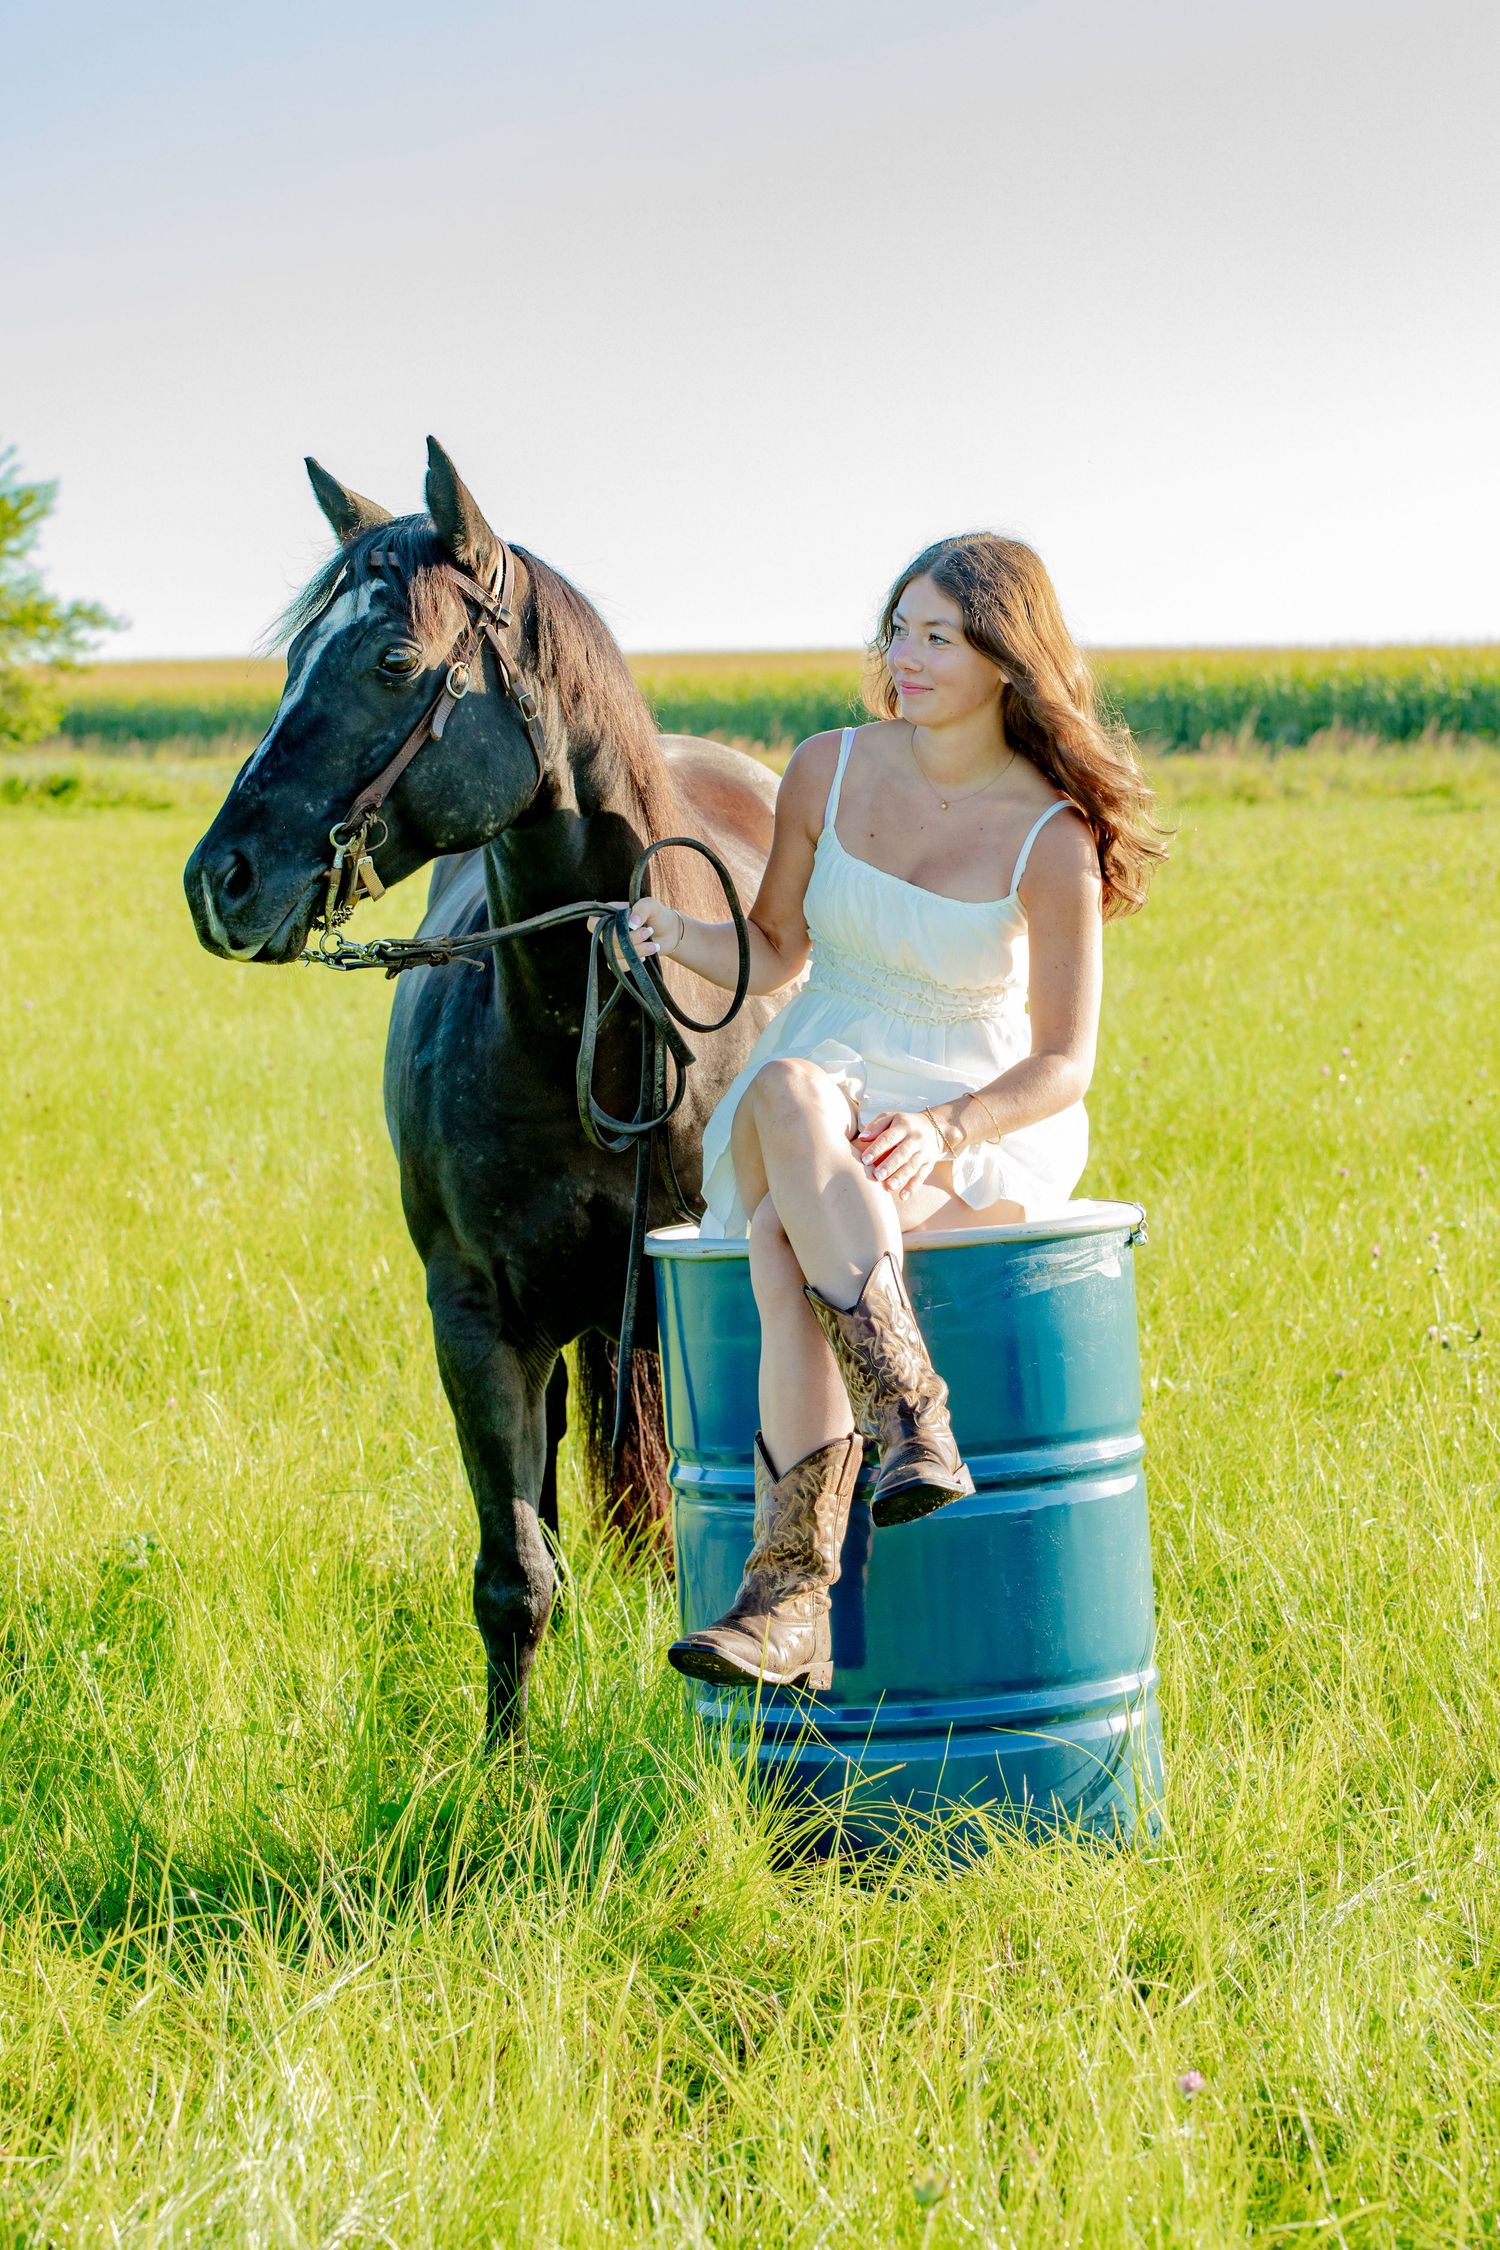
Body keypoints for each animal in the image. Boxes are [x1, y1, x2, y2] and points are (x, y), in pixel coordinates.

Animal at [184, 439, 780, 1737]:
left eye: (393, 661)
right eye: (295, 661)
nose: (221, 880)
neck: (589, 1025)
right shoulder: (475, 1318)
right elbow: (515, 1576)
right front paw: (501, 1773)